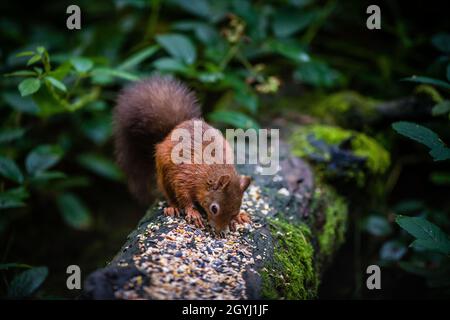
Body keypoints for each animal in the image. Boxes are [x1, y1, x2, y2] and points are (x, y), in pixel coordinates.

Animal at [114, 75, 251, 235]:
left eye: (235, 211)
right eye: (214, 209)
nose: (220, 232)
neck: (207, 173)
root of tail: (172, 130)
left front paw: (238, 218)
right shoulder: (185, 176)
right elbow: (184, 196)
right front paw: (193, 213)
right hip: (164, 175)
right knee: (169, 194)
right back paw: (172, 207)